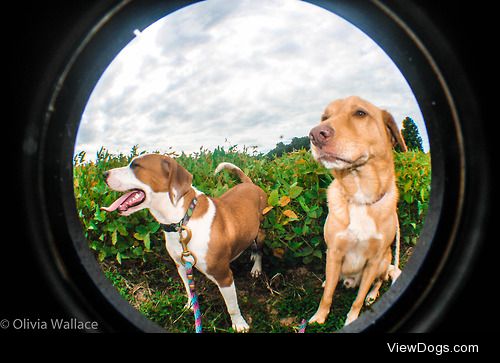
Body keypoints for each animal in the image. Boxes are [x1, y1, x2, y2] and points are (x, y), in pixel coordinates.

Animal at [99, 154, 268, 332]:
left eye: (136, 165)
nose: (104, 174)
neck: (181, 221)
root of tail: (249, 184)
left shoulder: (224, 275)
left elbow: (232, 306)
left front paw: (239, 324)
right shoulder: (181, 265)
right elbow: (189, 289)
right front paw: (191, 306)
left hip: (260, 229)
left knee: (259, 245)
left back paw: (256, 267)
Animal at [306, 96, 408, 328]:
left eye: (360, 113)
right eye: (325, 117)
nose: (315, 134)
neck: (361, 198)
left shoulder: (374, 260)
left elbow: (358, 300)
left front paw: (352, 319)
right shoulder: (334, 252)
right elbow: (327, 296)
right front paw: (319, 316)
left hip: (384, 261)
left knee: (377, 283)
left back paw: (372, 295)